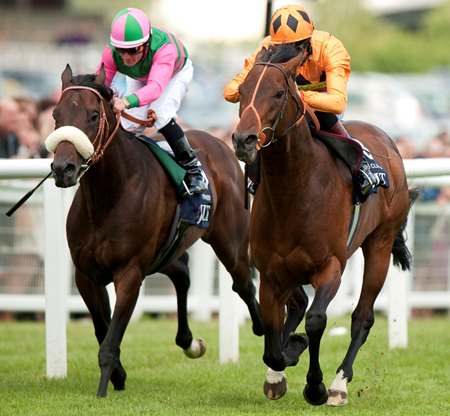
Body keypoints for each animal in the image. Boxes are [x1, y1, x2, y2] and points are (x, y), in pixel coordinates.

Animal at [44, 65, 264, 396]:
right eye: (56, 114)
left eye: (93, 115)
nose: (63, 169)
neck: (109, 195)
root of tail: (219, 142)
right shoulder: (86, 275)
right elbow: (102, 329)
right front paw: (119, 375)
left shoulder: (130, 273)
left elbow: (109, 340)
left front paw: (104, 388)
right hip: (166, 250)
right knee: (183, 273)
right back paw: (190, 342)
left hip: (230, 242)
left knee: (244, 285)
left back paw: (265, 331)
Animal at [232, 44, 414, 406]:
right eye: (242, 92)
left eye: (278, 93)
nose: (243, 140)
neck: (295, 193)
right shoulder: (270, 273)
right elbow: (272, 339)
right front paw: (281, 366)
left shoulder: (330, 265)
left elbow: (316, 321)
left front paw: (314, 385)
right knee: (298, 306)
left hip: (381, 244)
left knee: (362, 316)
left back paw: (339, 384)